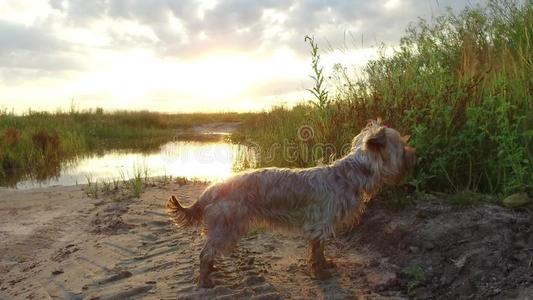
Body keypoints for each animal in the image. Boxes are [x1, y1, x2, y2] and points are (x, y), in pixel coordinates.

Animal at [166, 119, 416, 288]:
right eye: (401, 145)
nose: (414, 154)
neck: (352, 173)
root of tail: (212, 189)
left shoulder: (321, 227)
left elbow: (320, 250)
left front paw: (326, 265)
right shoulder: (320, 224)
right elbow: (316, 252)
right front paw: (321, 274)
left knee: (209, 251)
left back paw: (211, 269)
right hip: (227, 226)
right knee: (205, 252)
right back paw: (204, 280)